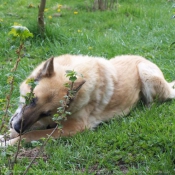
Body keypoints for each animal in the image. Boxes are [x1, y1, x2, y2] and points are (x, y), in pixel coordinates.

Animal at [1, 54, 175, 146]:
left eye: (46, 113)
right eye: (31, 100)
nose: (18, 127)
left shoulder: (73, 128)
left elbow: (31, 135)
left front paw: (9, 143)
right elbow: (18, 131)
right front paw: (6, 136)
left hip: (145, 73)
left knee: (155, 101)